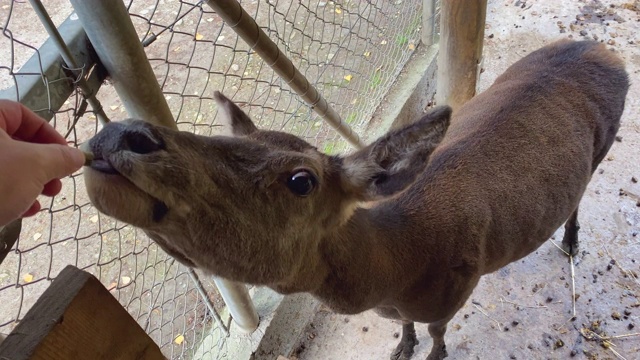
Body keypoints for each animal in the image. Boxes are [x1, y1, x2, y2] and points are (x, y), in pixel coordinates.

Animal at [81, 39, 632, 360]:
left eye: (301, 180)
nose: (122, 134)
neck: (397, 272)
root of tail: (605, 48)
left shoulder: (456, 289)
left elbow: (438, 331)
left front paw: (431, 354)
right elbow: (409, 327)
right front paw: (401, 349)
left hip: (605, 146)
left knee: (580, 195)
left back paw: (572, 242)